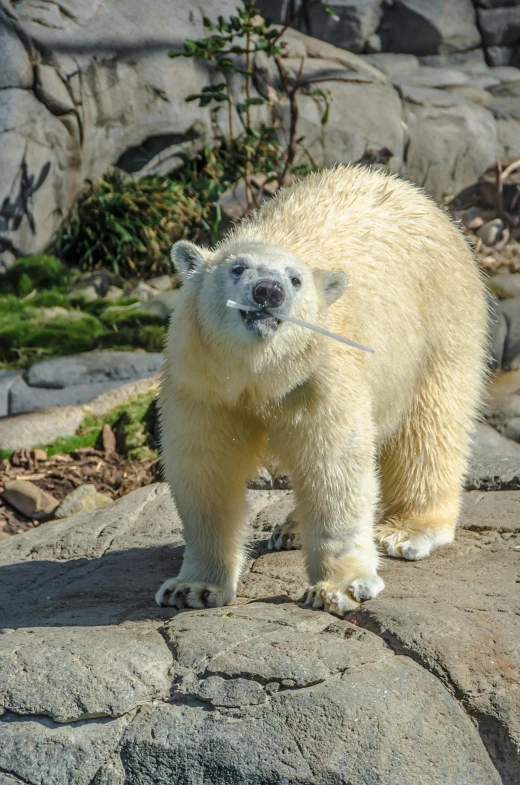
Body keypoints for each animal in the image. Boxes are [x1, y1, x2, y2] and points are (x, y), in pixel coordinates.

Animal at [156, 165, 490, 616]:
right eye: (238, 268)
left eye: (296, 279)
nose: (268, 291)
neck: (257, 373)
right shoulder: (202, 382)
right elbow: (205, 471)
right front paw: (192, 587)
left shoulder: (320, 375)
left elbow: (333, 466)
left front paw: (339, 588)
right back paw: (291, 530)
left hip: (442, 319)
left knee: (430, 427)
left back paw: (406, 531)